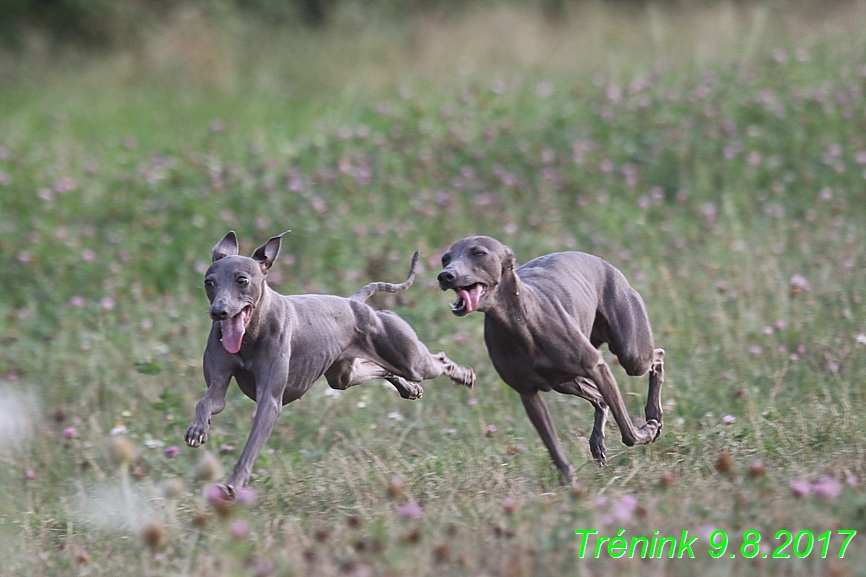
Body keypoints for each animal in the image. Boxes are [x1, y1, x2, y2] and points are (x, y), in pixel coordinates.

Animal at [185, 232, 476, 492]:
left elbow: (251, 445)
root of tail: (354, 302)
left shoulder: (269, 401)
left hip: (411, 360)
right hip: (343, 376)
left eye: (242, 280)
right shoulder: (219, 386)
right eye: (209, 282)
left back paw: (463, 374)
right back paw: (410, 388)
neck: (251, 333)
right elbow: (208, 401)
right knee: (381, 370)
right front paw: (197, 430)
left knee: (437, 359)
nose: (218, 312)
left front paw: (233, 485)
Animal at [436, 234, 664, 482]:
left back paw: (653, 415)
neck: (520, 323)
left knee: (657, 357)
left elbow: (628, 432)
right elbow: (554, 448)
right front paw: (570, 482)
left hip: (631, 355)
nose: (445, 275)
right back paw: (598, 444)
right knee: (600, 399)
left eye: (478, 253)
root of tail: (604, 263)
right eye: (445, 259)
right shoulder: (528, 394)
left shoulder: (596, 365)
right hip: (564, 381)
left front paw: (649, 430)